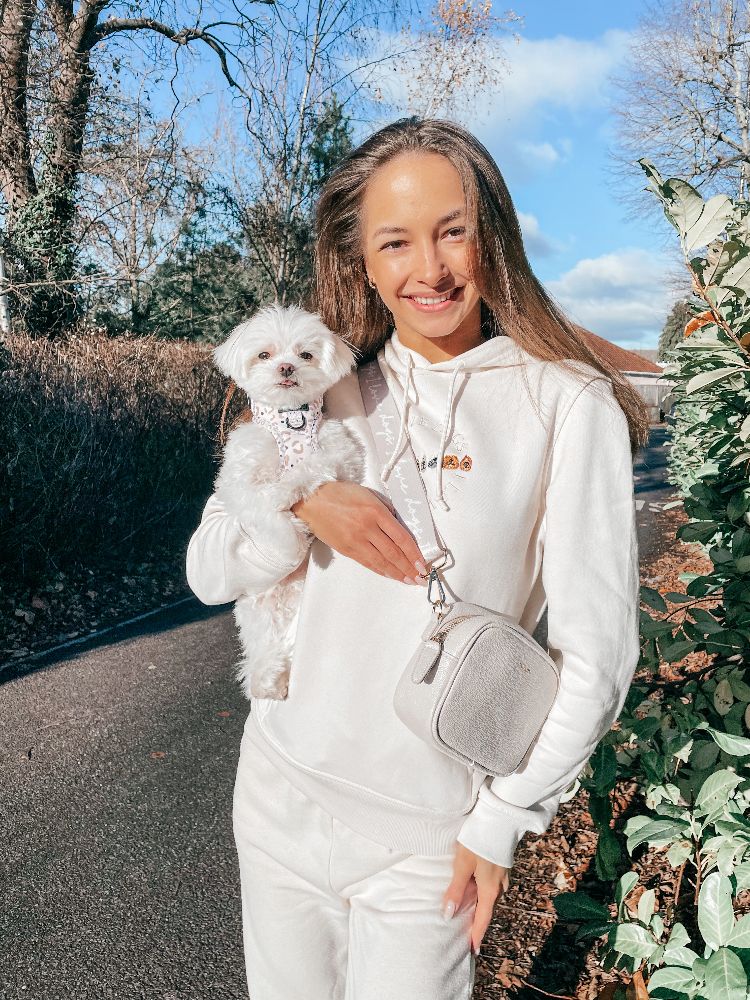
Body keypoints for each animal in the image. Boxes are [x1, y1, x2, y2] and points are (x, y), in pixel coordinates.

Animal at [212, 303, 366, 701]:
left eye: (305, 355)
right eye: (264, 355)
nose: (285, 368)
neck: (290, 422)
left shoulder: (339, 455)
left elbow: (310, 469)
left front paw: (287, 489)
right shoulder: (238, 480)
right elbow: (261, 509)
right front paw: (289, 536)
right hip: (254, 608)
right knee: (262, 645)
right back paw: (266, 676)